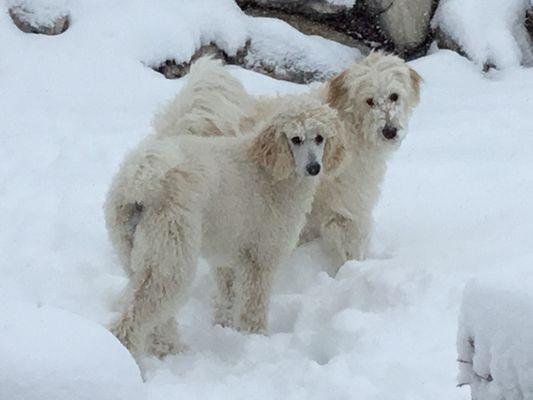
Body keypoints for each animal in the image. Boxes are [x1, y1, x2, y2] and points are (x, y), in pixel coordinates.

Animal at [105, 95, 344, 358]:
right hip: (170, 254)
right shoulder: (260, 256)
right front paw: (255, 337)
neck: (269, 167)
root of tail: (137, 182)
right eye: (296, 139)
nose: (314, 168)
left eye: (320, 137)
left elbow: (228, 295)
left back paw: (168, 348)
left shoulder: (226, 254)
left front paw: (226, 327)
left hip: (133, 250)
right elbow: (253, 301)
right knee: (133, 317)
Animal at [156, 54, 422, 276]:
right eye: (369, 100)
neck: (349, 125)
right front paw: (351, 274)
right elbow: (349, 248)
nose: (390, 131)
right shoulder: (346, 208)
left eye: (394, 96)